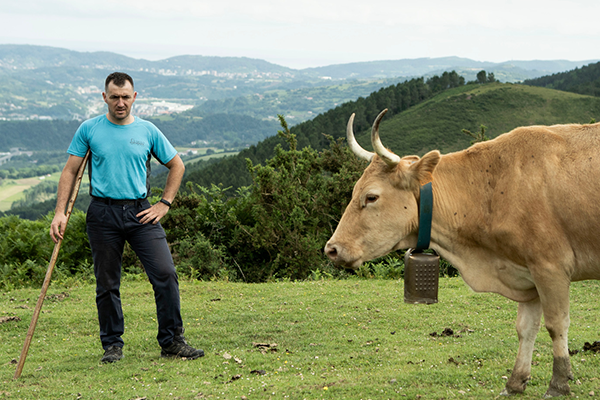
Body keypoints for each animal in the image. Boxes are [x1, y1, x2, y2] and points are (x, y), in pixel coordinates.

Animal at [326, 108, 600, 396]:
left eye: (371, 197)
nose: (332, 249)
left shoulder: (551, 267)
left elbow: (556, 325)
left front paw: (559, 382)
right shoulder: (526, 273)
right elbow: (526, 328)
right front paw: (515, 382)